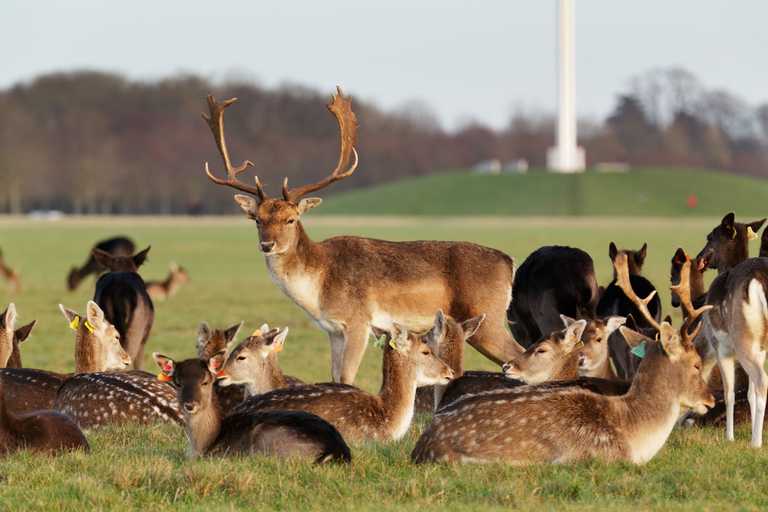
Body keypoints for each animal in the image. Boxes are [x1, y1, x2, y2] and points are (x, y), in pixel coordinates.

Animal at [153, 354, 351, 463]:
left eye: (205, 382)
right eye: (177, 383)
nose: (190, 405)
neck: (204, 444)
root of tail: (337, 451)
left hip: (268, 438)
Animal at [201, 88, 521, 384]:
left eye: (291, 219)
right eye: (257, 219)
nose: (267, 244)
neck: (319, 286)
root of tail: (509, 262)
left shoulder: (358, 321)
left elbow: (346, 377)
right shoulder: (332, 330)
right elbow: (334, 376)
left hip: (488, 317)